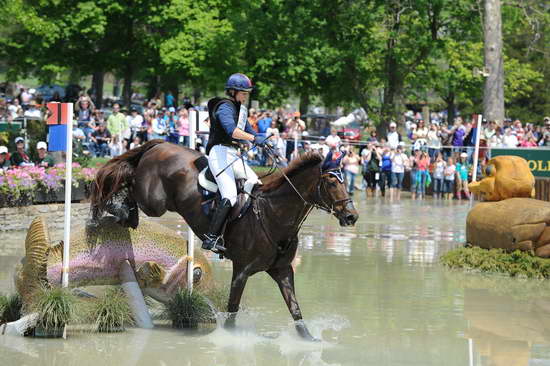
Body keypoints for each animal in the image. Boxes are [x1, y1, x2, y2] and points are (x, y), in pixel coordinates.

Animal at [88, 140, 360, 340]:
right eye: (332, 182)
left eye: (344, 181)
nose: (351, 216)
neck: (274, 214)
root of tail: (161, 144)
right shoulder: (241, 271)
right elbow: (232, 311)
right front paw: (230, 340)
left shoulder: (282, 270)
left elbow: (295, 309)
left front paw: (308, 340)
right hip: (154, 201)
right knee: (128, 183)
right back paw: (115, 208)